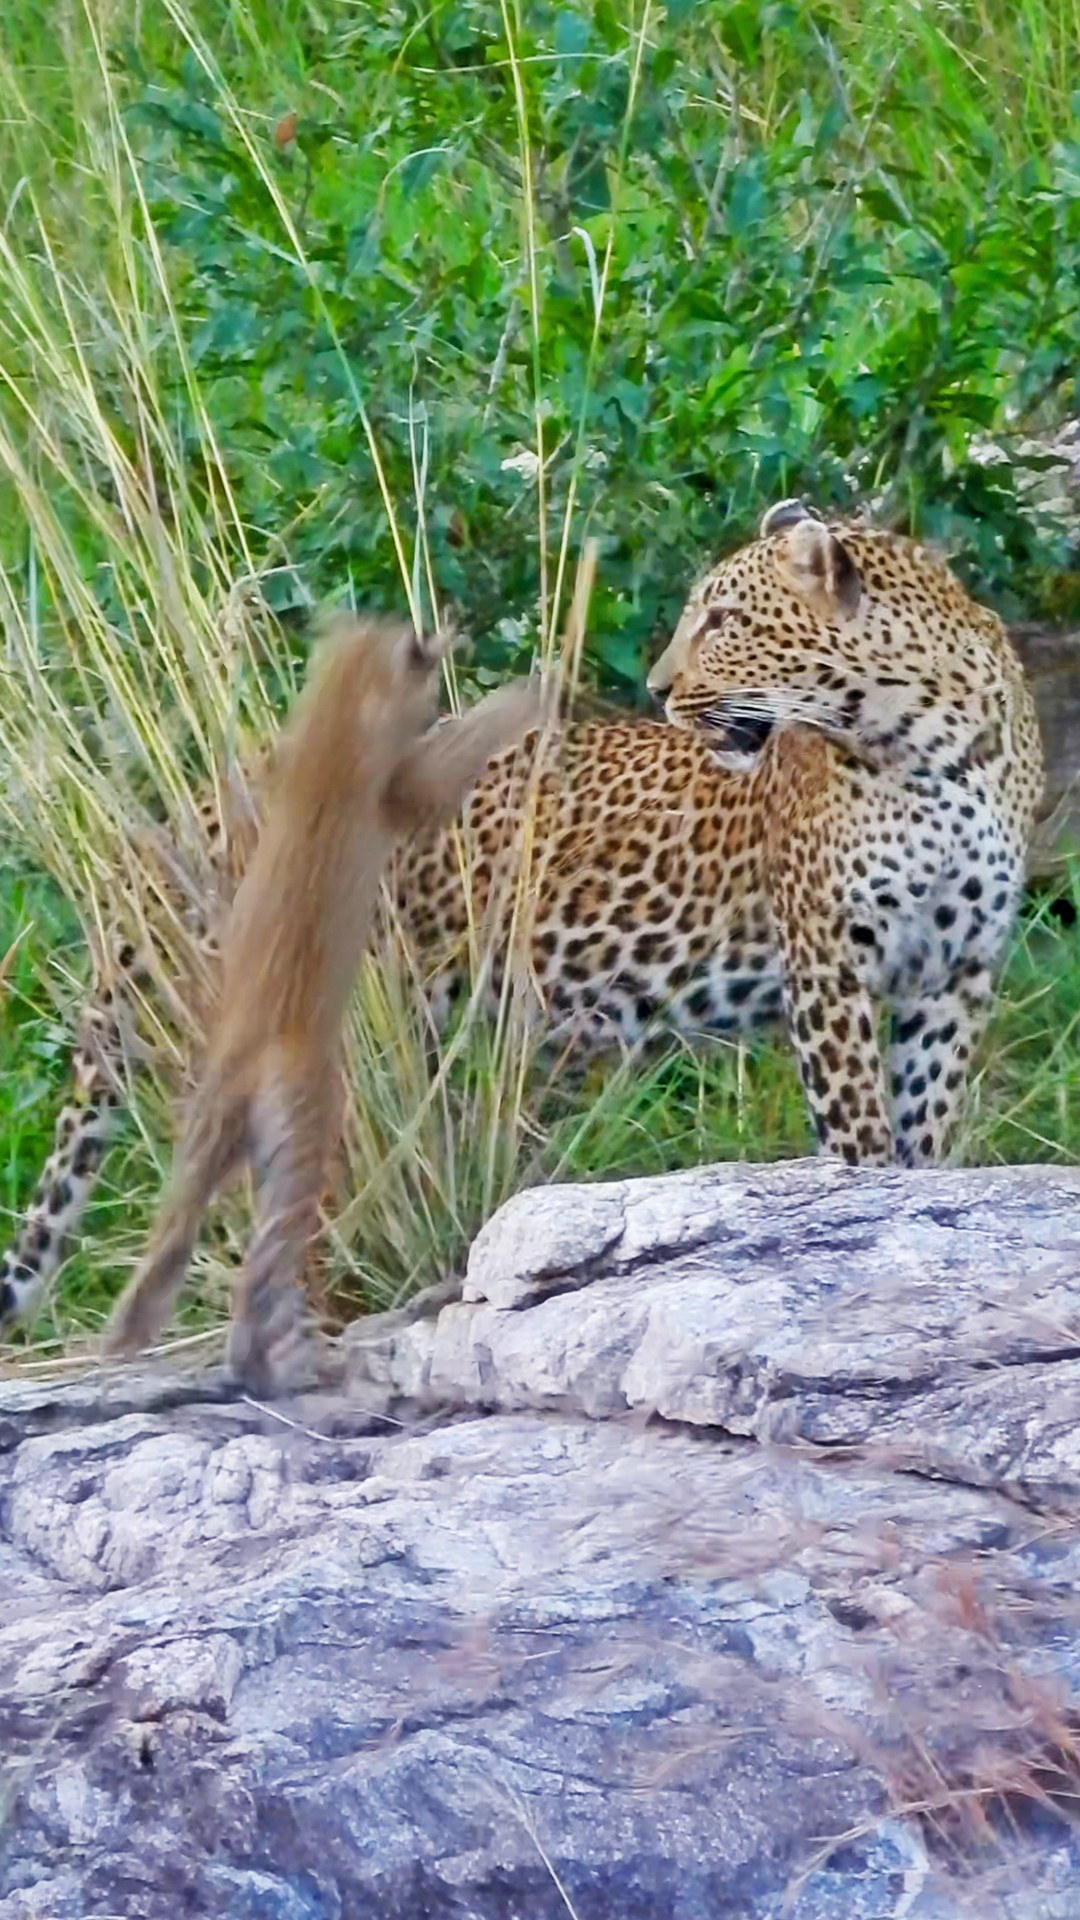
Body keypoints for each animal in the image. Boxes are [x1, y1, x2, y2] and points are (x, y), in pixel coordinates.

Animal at [0, 500, 1043, 1334]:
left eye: (726, 619)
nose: (660, 689)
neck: (927, 747)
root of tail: (191, 807)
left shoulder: (957, 972)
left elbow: (923, 1122)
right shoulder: (829, 959)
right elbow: (859, 1131)